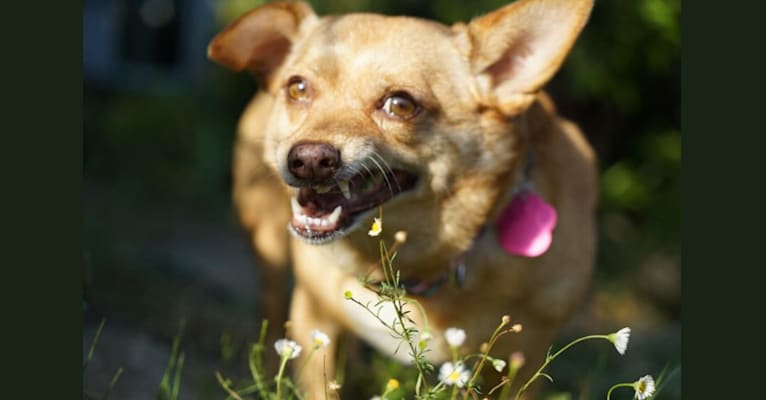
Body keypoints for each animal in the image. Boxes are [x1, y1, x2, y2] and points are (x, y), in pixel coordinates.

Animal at [210, 0, 600, 396]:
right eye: (297, 88)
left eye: (400, 105)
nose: (308, 160)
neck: (410, 264)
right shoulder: (314, 318)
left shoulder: (520, 362)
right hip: (267, 243)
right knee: (272, 310)